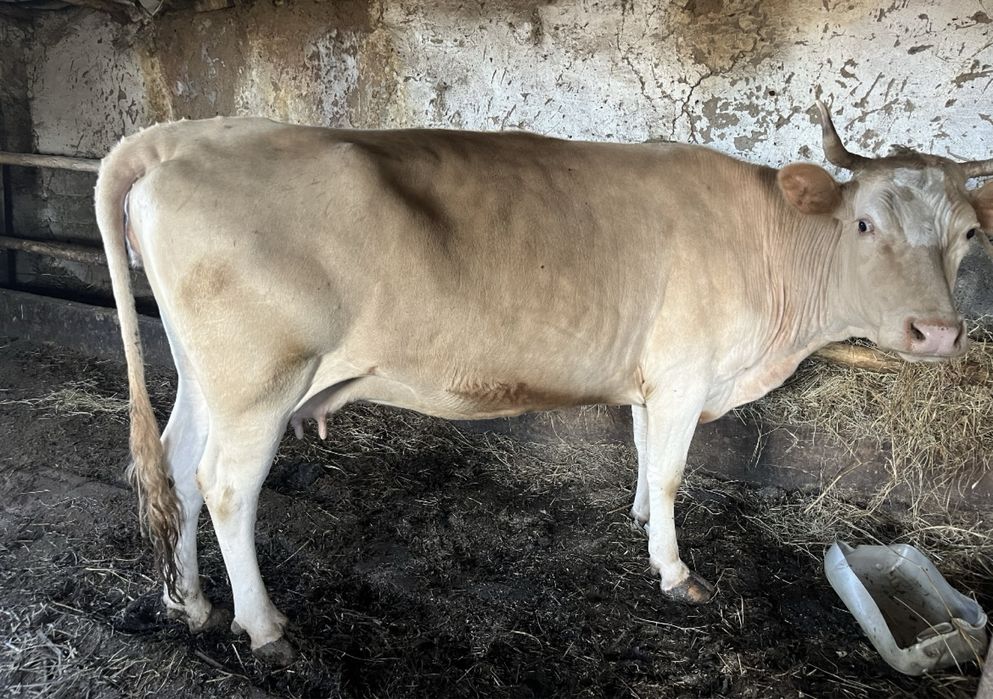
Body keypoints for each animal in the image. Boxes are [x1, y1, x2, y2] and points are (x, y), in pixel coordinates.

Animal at [94, 102, 993, 664]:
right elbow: (673, 469)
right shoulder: (683, 371)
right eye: (864, 223)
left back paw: (189, 603)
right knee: (226, 486)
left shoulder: (652, 374)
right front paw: (674, 570)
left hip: (205, 376)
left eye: (966, 234)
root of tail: (186, 136)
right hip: (259, 379)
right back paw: (261, 623)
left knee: (176, 468)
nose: (938, 332)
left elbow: (644, 455)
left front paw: (640, 522)